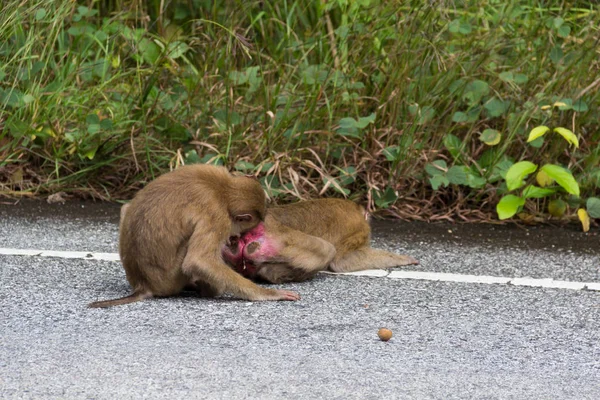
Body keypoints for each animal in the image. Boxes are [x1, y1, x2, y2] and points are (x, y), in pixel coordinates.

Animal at [88, 164, 300, 308]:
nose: (235, 237)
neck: (223, 189)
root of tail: (143, 284)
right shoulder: (218, 217)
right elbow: (198, 261)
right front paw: (269, 293)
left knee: (125, 208)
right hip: (170, 279)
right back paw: (206, 289)